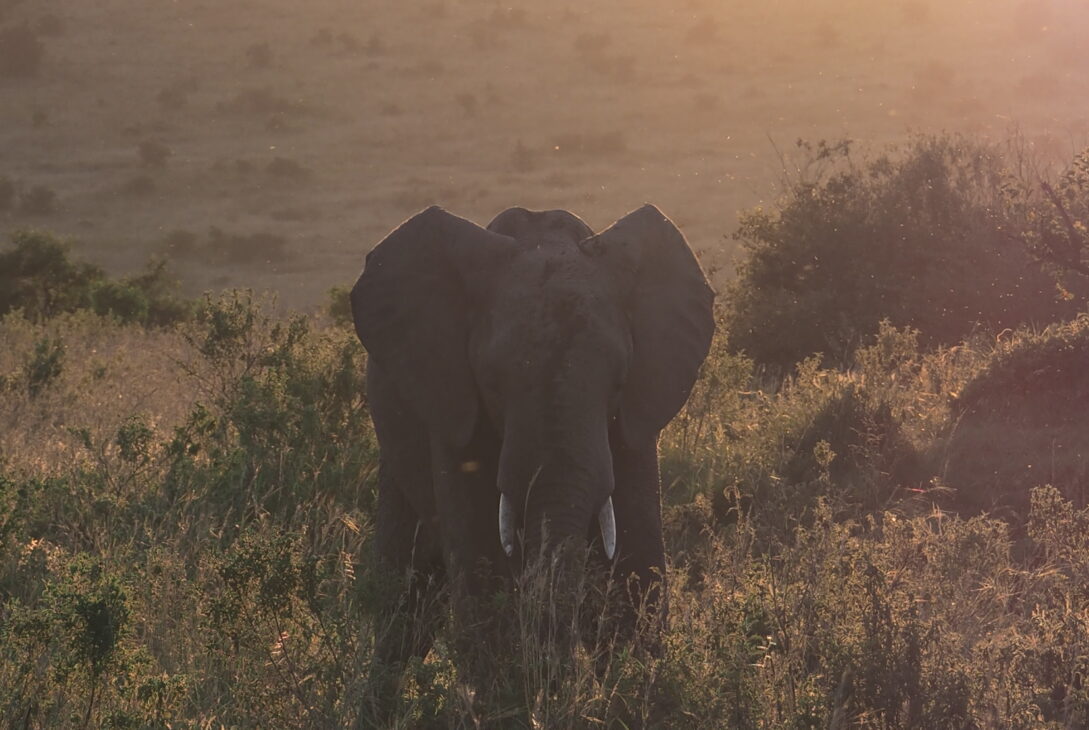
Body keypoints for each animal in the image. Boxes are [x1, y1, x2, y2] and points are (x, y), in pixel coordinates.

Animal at [350, 203, 714, 687]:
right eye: (490, 383)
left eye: (619, 382)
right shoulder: (453, 403)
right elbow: (483, 569)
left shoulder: (639, 413)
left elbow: (636, 569)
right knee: (405, 606)